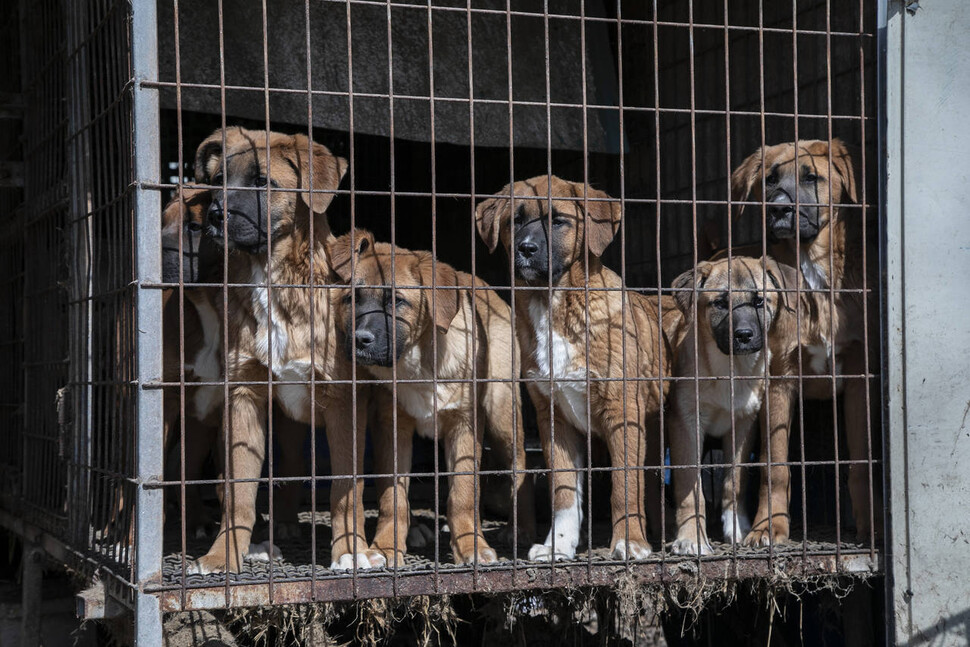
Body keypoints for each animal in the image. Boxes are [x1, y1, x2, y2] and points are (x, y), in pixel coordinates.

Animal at [183, 125, 380, 572]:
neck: (274, 277)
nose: (216, 215)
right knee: (289, 464)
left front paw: (351, 550)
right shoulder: (244, 395)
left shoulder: (344, 401)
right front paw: (224, 554)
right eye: (217, 180)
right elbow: (238, 491)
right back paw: (283, 526)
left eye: (262, 182)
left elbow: (345, 488)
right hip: (287, 421)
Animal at [328, 230, 532, 564]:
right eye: (351, 299)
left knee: (519, 467)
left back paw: (520, 528)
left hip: (502, 413)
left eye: (397, 301)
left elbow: (463, 491)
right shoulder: (391, 425)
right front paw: (386, 546)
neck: (418, 360)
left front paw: (470, 545)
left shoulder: (465, 423)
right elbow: (393, 496)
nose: (360, 340)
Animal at [472, 176, 676, 560]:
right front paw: (559, 545)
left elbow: (625, 484)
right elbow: (564, 492)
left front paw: (629, 541)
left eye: (558, 221)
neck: (554, 305)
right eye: (515, 221)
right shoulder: (555, 421)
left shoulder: (623, 414)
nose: (525, 249)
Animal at [668, 256, 828, 556]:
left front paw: (738, 528)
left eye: (759, 301)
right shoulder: (686, 423)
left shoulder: (743, 425)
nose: (744, 335)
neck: (729, 370)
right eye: (720, 303)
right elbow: (690, 488)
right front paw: (692, 537)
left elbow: (735, 481)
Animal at [728, 139, 876, 544]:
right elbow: (774, 466)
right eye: (769, 180)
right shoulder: (779, 380)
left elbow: (859, 463)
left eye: (811, 177)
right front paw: (769, 526)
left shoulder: (857, 380)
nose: (779, 208)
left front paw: (870, 528)